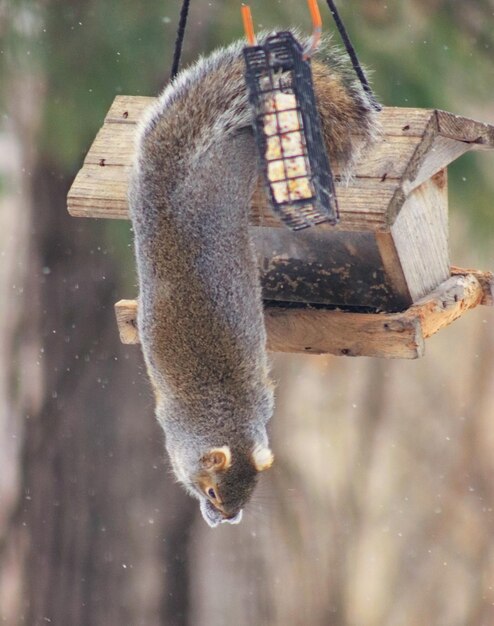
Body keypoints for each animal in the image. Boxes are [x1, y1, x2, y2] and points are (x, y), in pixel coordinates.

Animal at [128, 31, 378, 524]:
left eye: (249, 491)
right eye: (211, 491)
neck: (226, 417)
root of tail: (177, 188)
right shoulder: (178, 439)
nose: (226, 518)